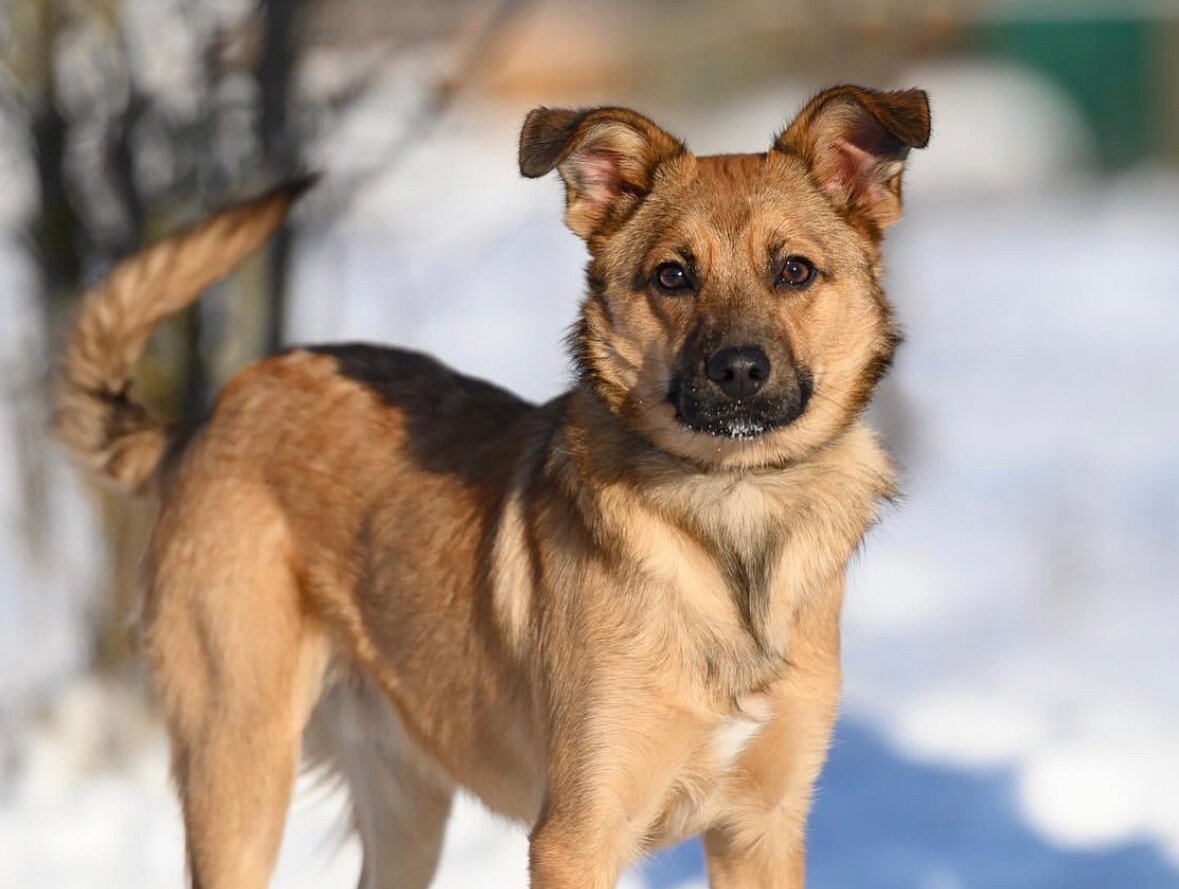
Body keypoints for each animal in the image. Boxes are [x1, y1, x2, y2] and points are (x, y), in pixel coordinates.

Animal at [53, 84, 929, 886]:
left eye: (795, 271)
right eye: (672, 276)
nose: (739, 371)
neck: (729, 515)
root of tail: (209, 415)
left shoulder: (761, 828)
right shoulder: (577, 832)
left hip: (404, 800)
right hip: (238, 759)